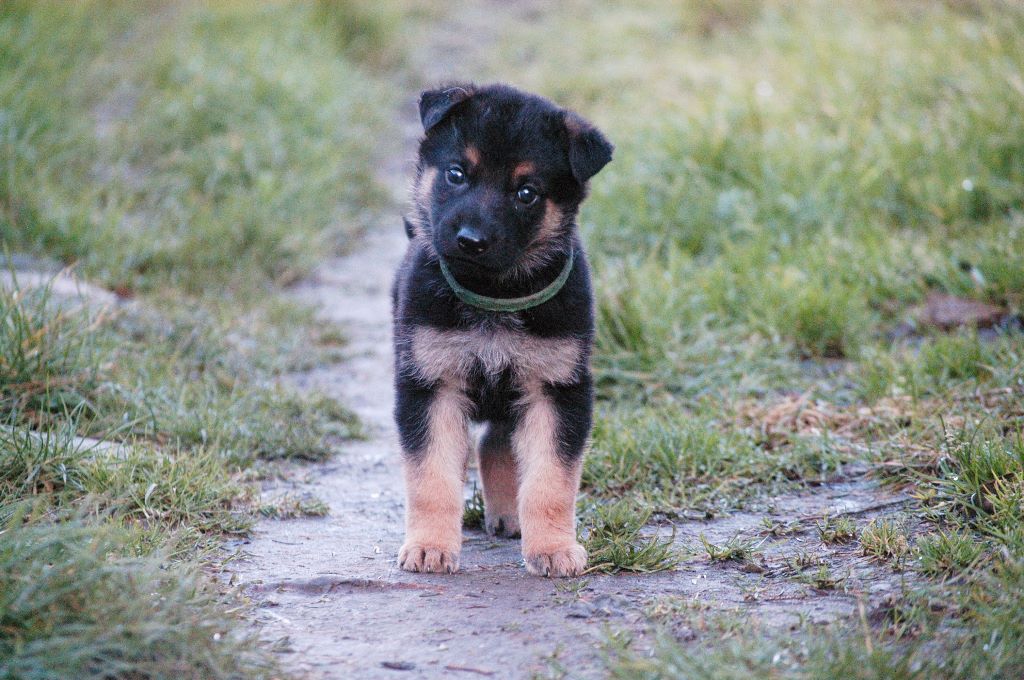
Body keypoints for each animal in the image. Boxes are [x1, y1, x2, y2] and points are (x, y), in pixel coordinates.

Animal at [392, 83, 612, 577]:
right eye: (456, 173)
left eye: (526, 193)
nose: (470, 240)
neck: (492, 295)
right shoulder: (430, 385)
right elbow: (431, 477)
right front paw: (429, 546)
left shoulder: (556, 389)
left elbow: (550, 480)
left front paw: (553, 549)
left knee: (497, 443)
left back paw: (510, 517)